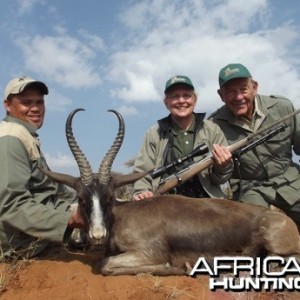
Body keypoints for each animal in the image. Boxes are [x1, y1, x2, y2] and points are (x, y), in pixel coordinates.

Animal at [42, 109, 300, 276]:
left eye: (107, 198)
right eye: (82, 199)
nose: (97, 234)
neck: (122, 216)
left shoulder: (148, 253)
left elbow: (105, 265)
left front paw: (175, 267)